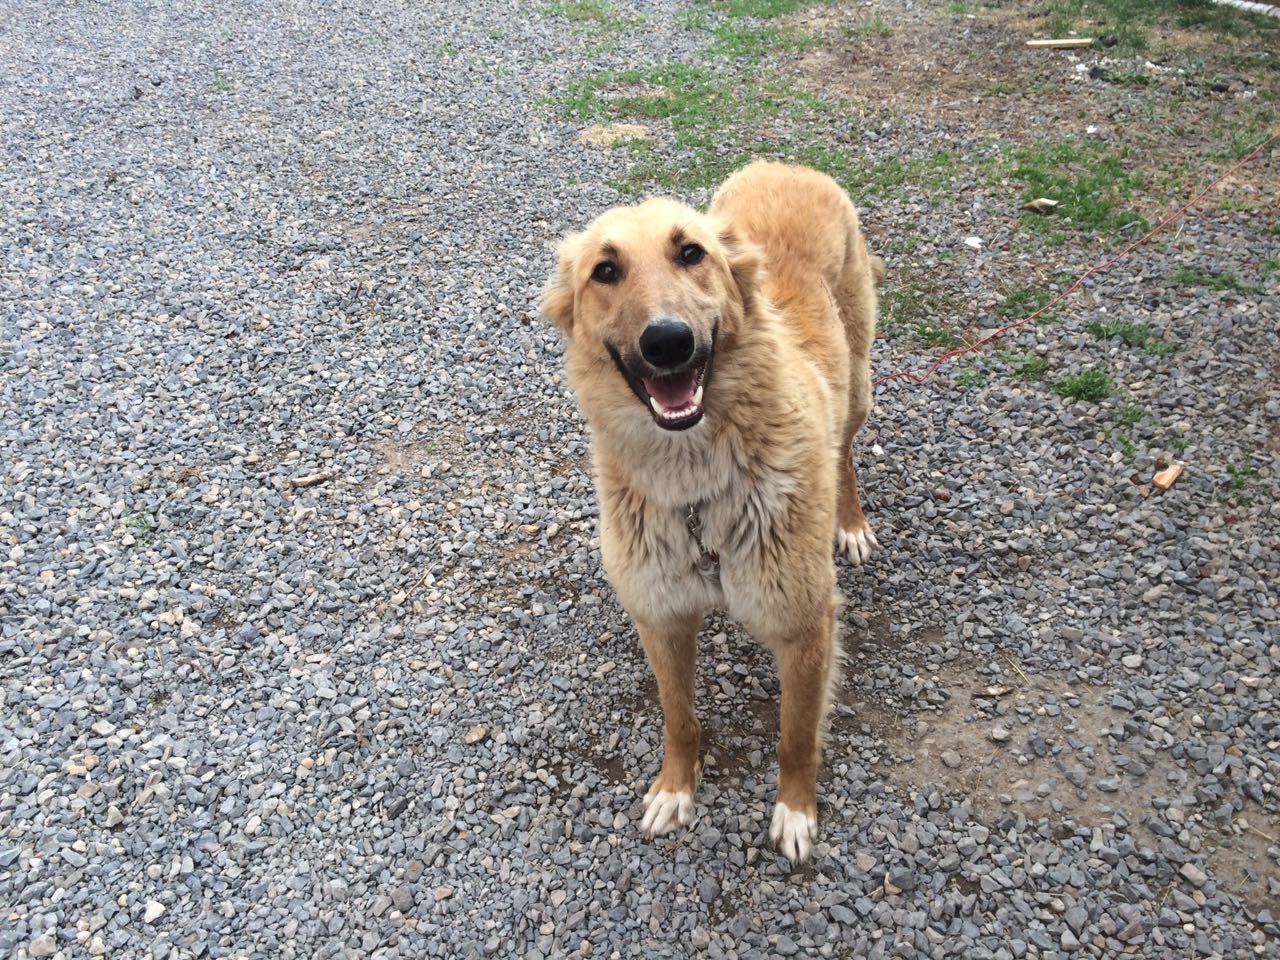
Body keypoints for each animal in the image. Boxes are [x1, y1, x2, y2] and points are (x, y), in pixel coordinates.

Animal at [537, 163, 880, 865]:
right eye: (605, 271)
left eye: (691, 254)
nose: (669, 342)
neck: (696, 485)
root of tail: (786, 166)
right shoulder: (661, 617)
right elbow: (680, 719)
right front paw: (676, 789)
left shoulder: (805, 625)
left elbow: (795, 736)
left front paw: (795, 812)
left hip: (858, 383)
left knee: (846, 452)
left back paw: (851, 522)